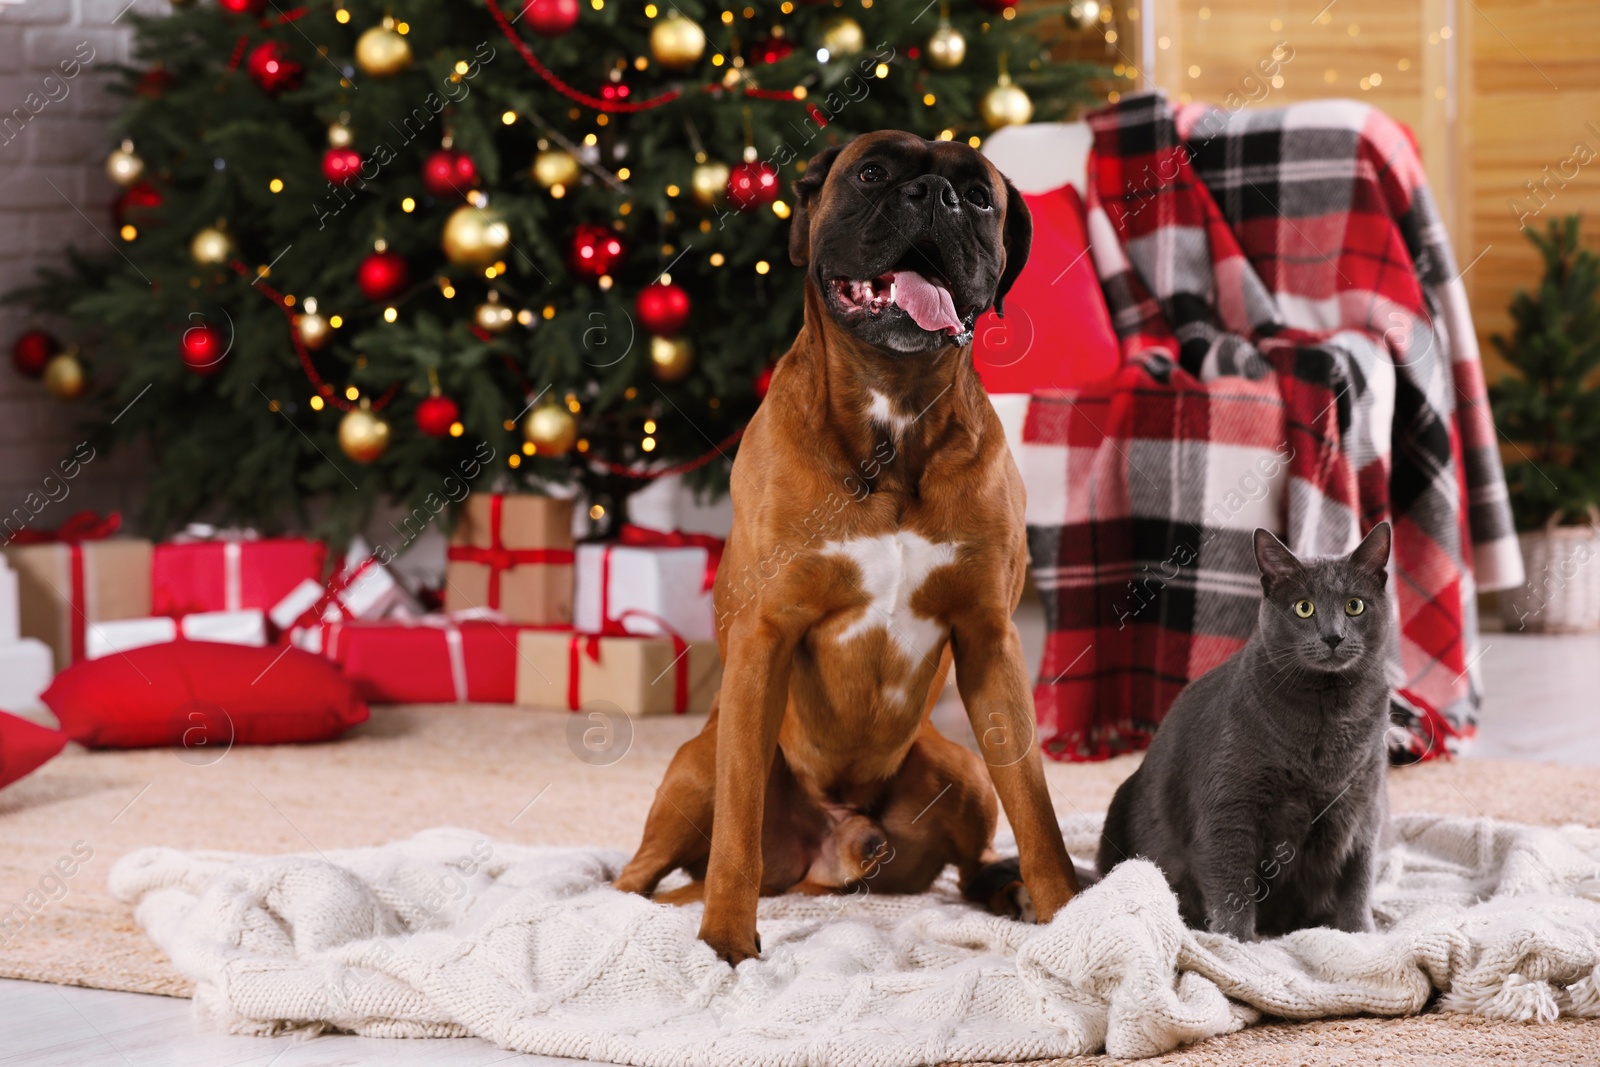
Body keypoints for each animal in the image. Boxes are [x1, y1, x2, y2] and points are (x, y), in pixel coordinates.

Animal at [608, 129, 1075, 966]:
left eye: (979, 194)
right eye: (872, 171)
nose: (936, 196)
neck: (894, 413)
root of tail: (828, 855)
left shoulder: (990, 643)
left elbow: (1037, 808)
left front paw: (1075, 916)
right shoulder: (765, 639)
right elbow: (736, 834)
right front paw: (726, 940)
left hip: (961, 768)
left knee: (971, 863)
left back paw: (1008, 888)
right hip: (695, 768)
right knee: (641, 872)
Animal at [1100, 521, 1388, 940]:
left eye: (1355, 605)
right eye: (1304, 608)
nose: (1333, 636)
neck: (1330, 714)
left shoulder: (1364, 804)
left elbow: (1358, 878)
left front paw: (1360, 935)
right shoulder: (1230, 805)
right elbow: (1232, 882)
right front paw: (1237, 943)